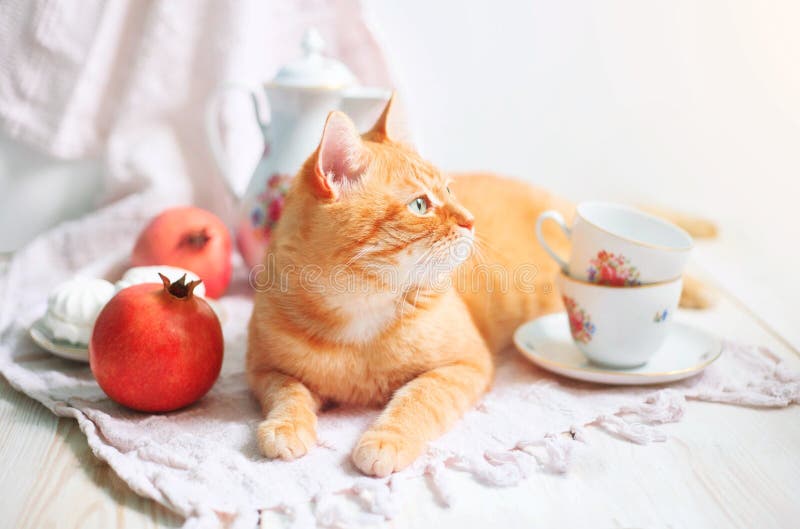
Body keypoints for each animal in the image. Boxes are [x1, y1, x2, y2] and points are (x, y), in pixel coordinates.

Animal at [247, 97, 708, 476]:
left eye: (450, 189)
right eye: (420, 205)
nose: (470, 220)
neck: (361, 309)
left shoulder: (463, 365)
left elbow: (416, 401)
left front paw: (385, 440)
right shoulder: (263, 370)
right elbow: (287, 393)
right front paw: (285, 427)